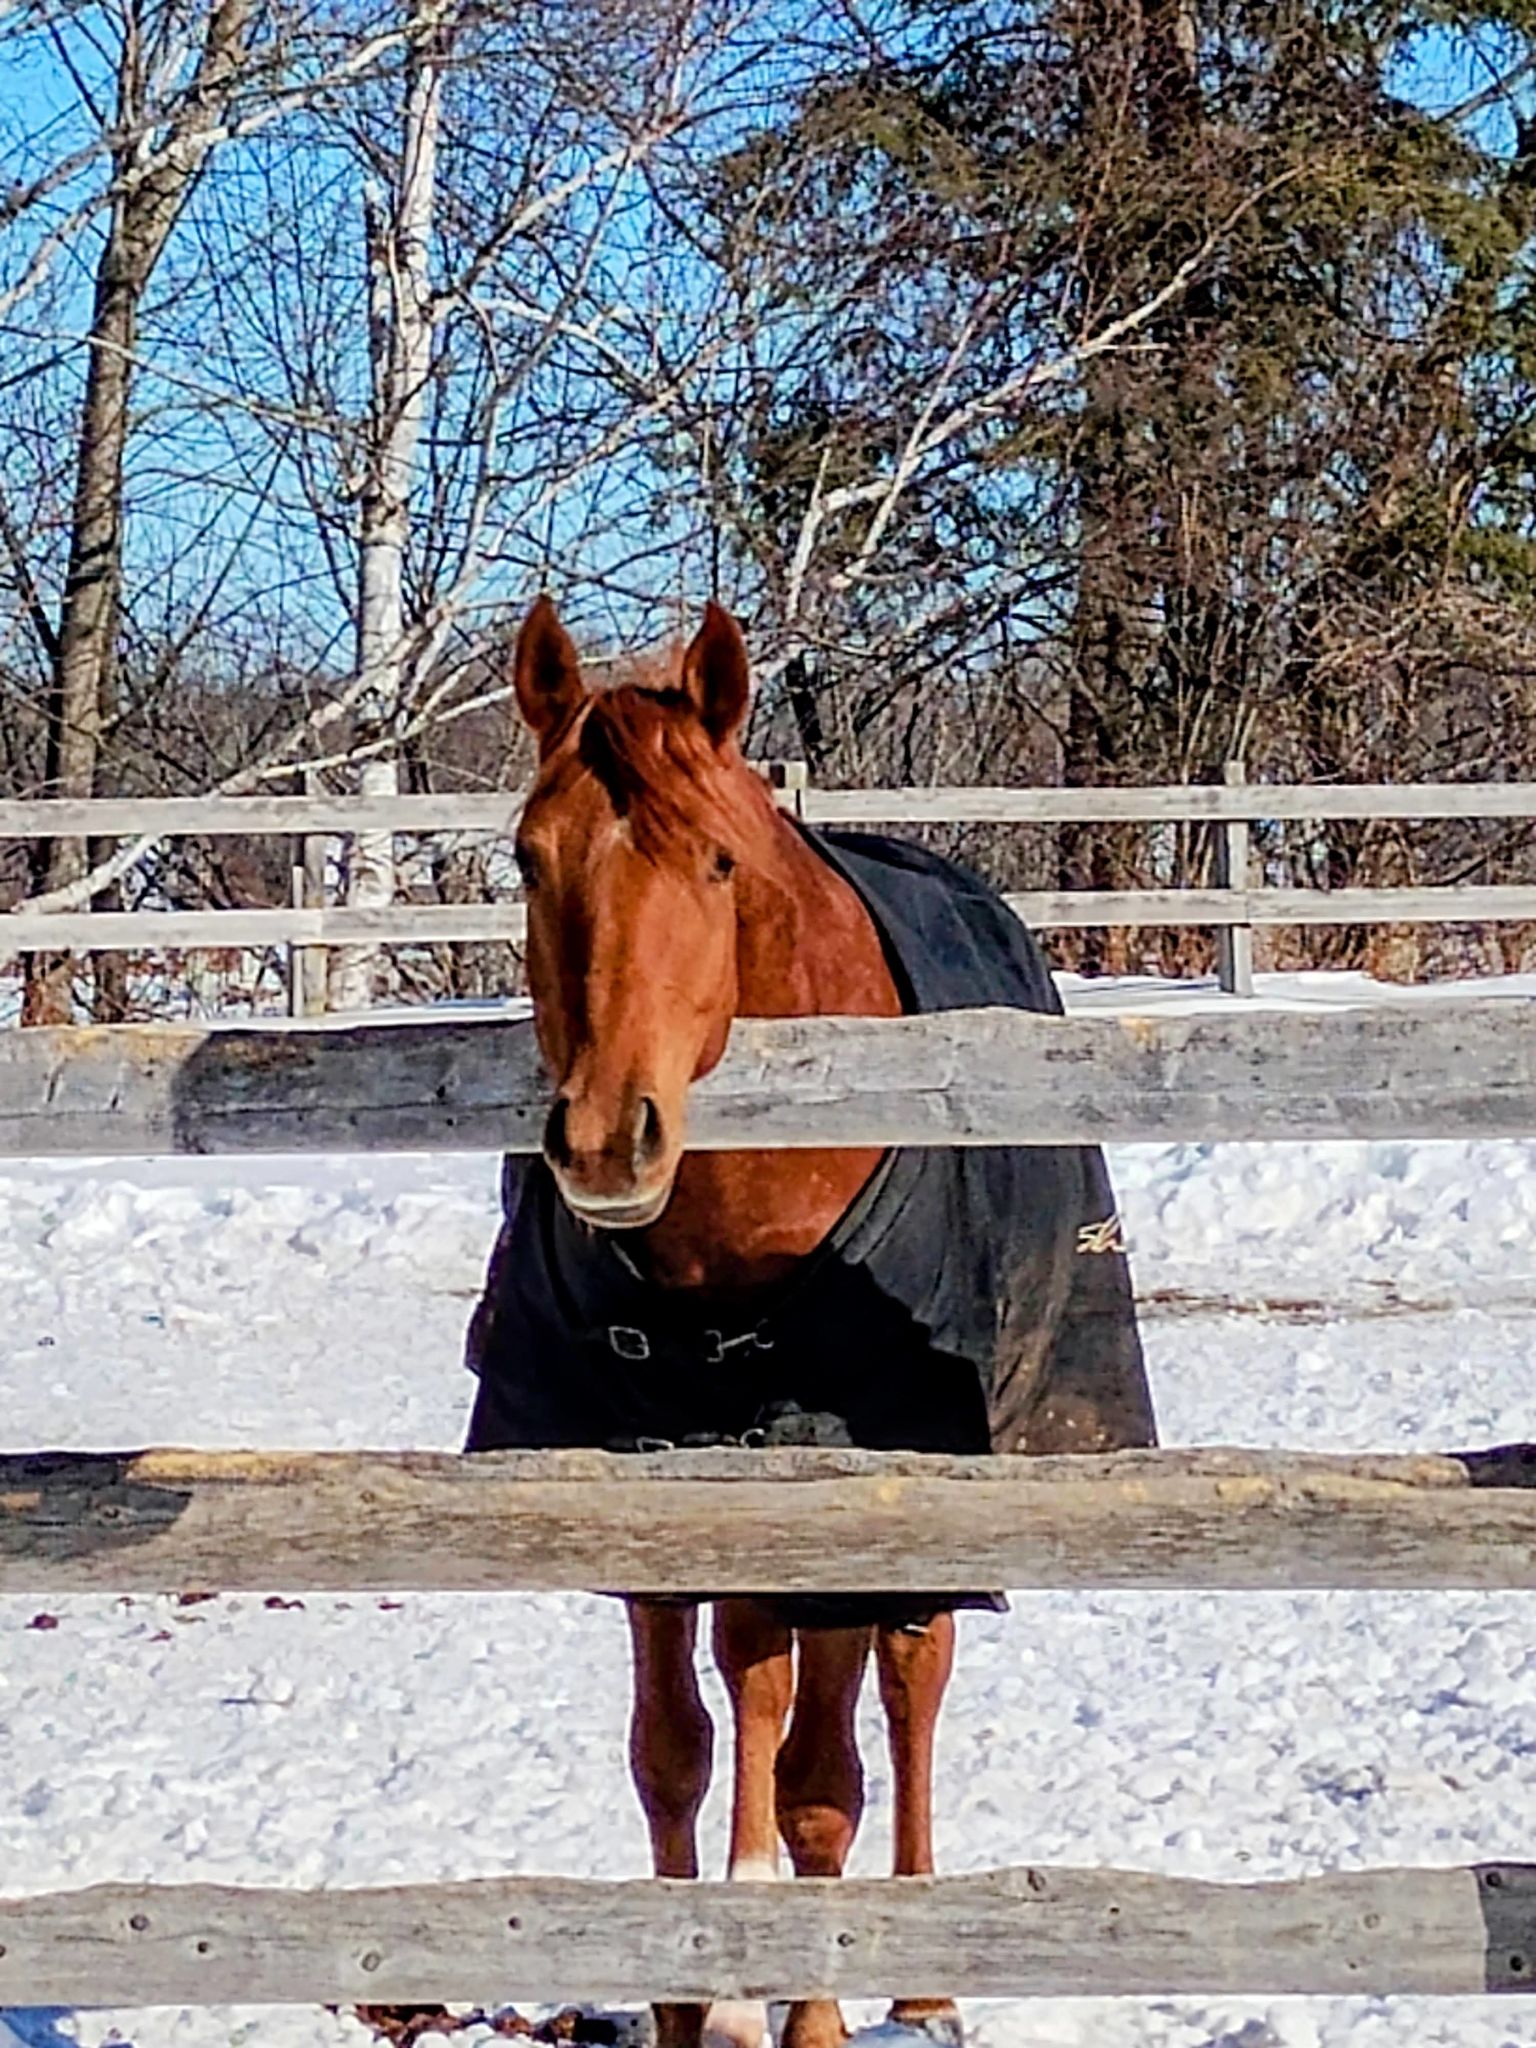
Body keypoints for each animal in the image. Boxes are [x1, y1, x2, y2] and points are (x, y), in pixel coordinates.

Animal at [464, 596, 1157, 2048]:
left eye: (719, 861)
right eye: (527, 859)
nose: (606, 1143)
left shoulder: (851, 1487)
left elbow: (824, 1775)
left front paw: (808, 2014)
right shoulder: (644, 1486)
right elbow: (674, 1752)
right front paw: (688, 2005)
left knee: (906, 1688)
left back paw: (921, 1983)